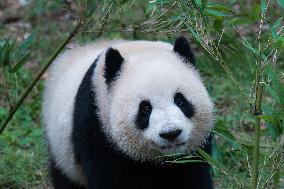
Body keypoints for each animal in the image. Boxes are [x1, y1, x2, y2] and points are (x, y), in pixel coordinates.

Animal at [42, 37, 213, 189]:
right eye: (145, 109)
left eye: (180, 101)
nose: (170, 133)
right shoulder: (97, 127)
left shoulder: (196, 152)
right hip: (62, 152)